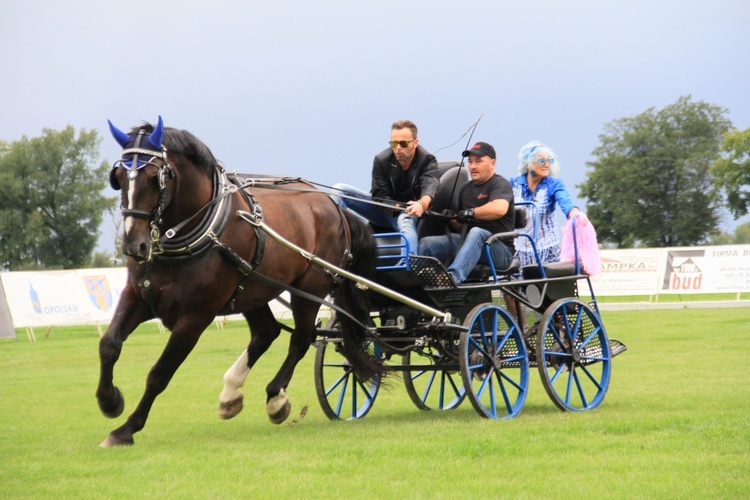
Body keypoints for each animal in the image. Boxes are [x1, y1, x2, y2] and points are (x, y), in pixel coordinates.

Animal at [98, 118, 382, 450]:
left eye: (155, 178)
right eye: (118, 177)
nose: (135, 245)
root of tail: (334, 206)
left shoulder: (195, 317)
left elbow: (159, 373)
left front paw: (125, 429)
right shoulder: (138, 297)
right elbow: (109, 345)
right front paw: (109, 401)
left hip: (309, 288)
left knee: (302, 337)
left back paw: (275, 399)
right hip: (253, 286)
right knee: (266, 333)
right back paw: (230, 394)